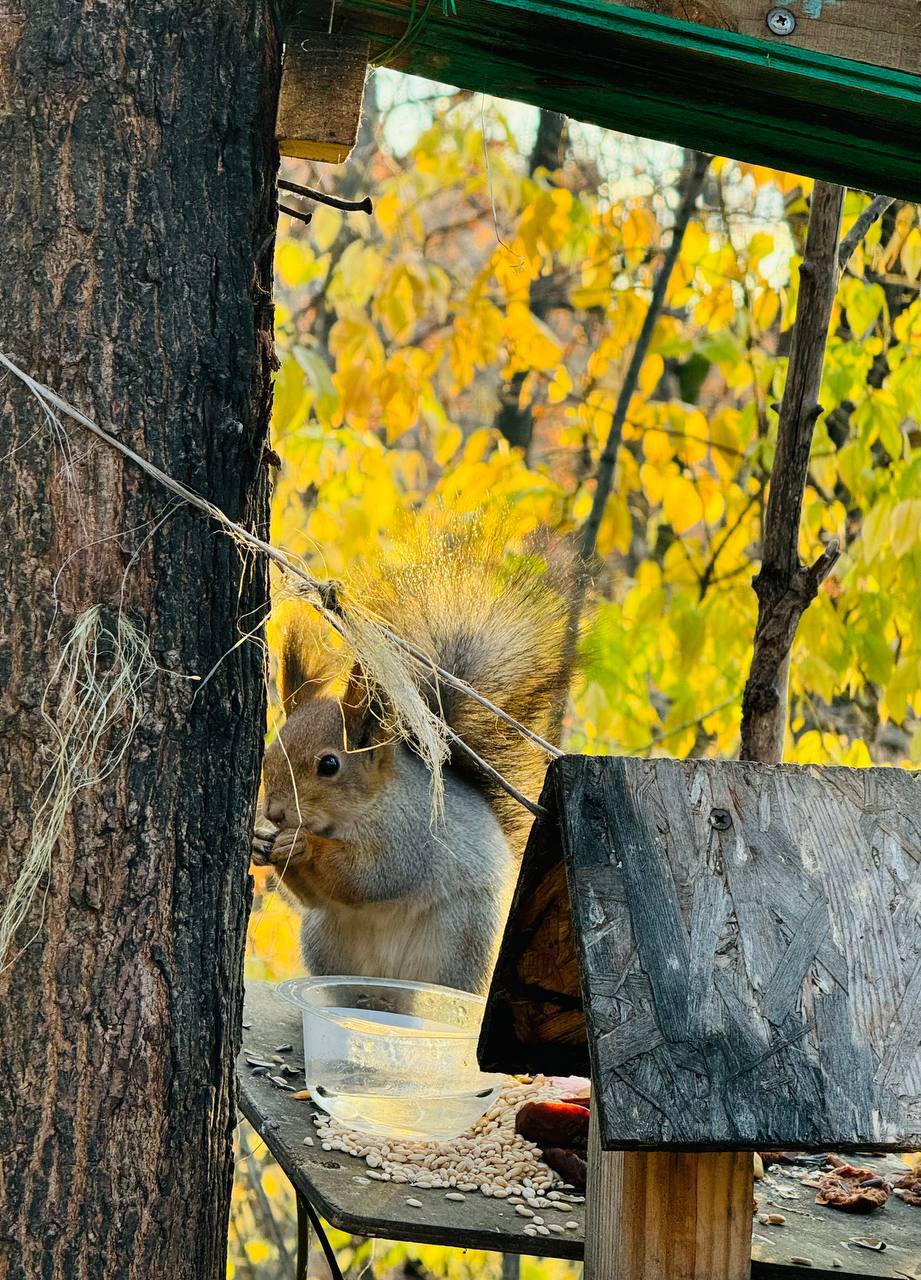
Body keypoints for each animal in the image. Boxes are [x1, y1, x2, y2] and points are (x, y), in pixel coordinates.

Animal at [251, 514, 567, 993]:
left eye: (329, 765)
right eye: (269, 755)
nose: (275, 813)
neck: (354, 813)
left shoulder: (409, 835)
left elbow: (369, 877)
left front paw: (301, 845)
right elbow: (312, 894)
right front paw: (261, 843)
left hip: (458, 938)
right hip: (327, 941)